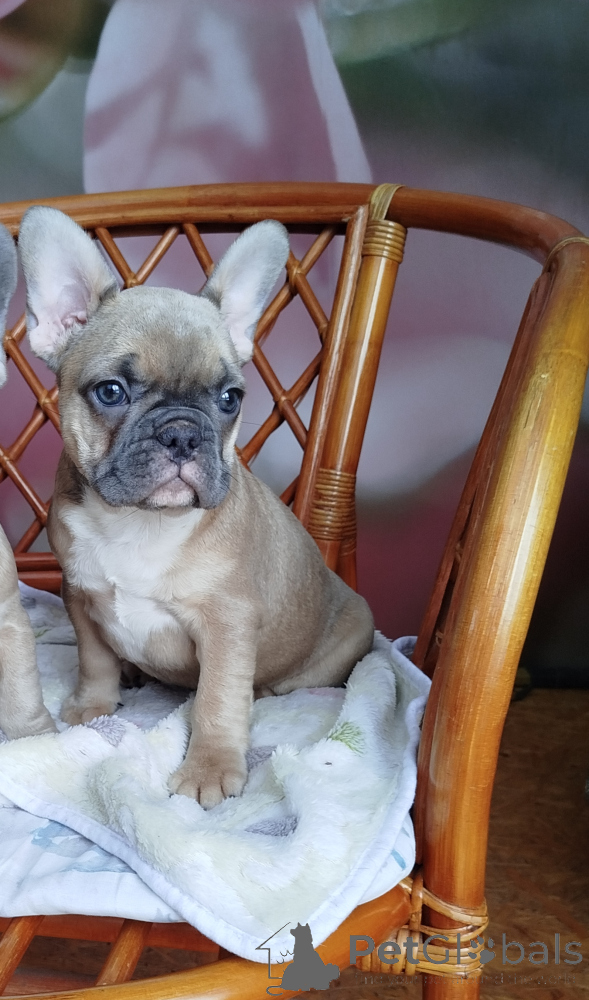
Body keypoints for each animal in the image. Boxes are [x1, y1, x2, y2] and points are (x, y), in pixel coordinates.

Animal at [18, 207, 374, 807]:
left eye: (230, 399)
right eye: (111, 391)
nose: (184, 433)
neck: (142, 522)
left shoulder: (227, 624)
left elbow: (217, 699)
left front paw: (209, 768)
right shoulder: (79, 594)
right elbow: (94, 658)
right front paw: (93, 705)